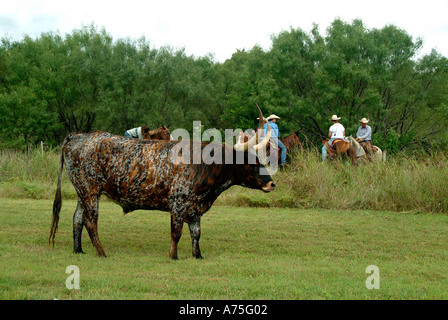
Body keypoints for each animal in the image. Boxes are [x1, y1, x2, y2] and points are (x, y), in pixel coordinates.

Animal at [48, 106, 272, 258]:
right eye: (250, 163)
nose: (272, 184)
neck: (204, 165)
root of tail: (78, 136)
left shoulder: (196, 208)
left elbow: (196, 233)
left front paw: (198, 256)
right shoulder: (178, 204)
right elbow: (176, 232)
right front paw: (174, 257)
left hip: (82, 192)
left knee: (77, 218)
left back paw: (79, 250)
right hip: (90, 191)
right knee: (90, 222)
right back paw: (101, 252)